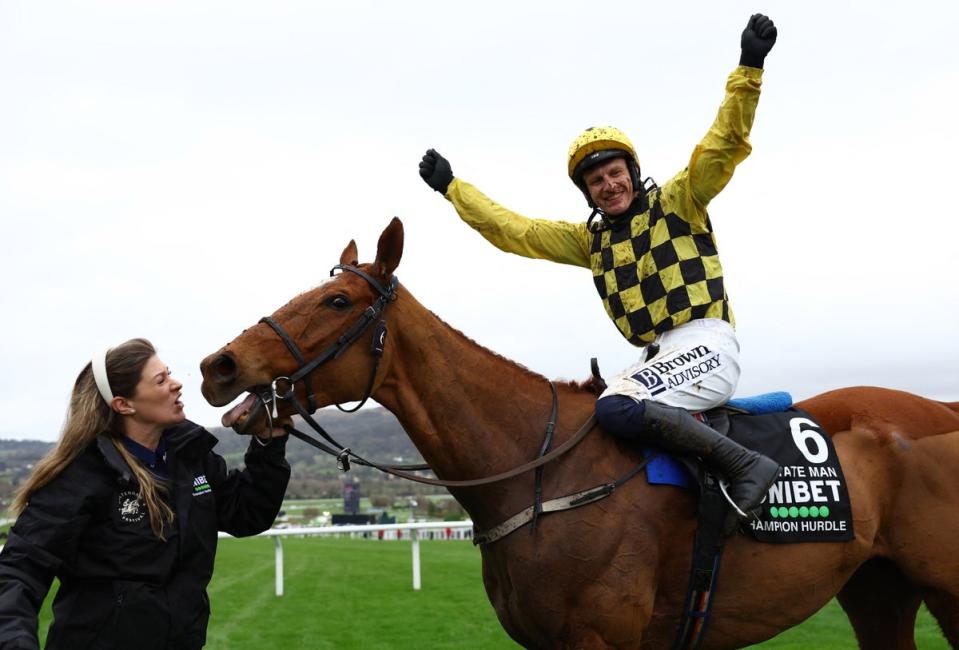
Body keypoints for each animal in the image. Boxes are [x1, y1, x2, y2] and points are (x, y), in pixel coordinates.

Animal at [201, 219, 959, 648]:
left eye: (336, 299)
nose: (218, 365)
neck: (537, 472)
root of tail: (943, 410)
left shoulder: (600, 637)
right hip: (877, 587)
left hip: (944, 587)